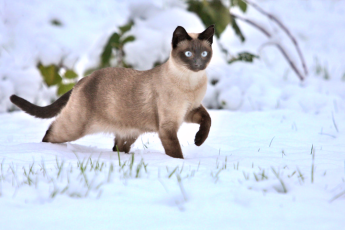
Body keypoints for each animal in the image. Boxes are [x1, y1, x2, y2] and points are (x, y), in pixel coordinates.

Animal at [10, 24, 212, 158]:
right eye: (188, 54)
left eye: (204, 54)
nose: (197, 64)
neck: (192, 83)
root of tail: (83, 79)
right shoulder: (168, 126)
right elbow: (176, 153)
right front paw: (180, 164)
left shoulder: (191, 110)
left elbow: (207, 120)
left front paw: (199, 141)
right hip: (75, 126)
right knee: (51, 131)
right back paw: (46, 151)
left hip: (131, 132)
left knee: (117, 147)